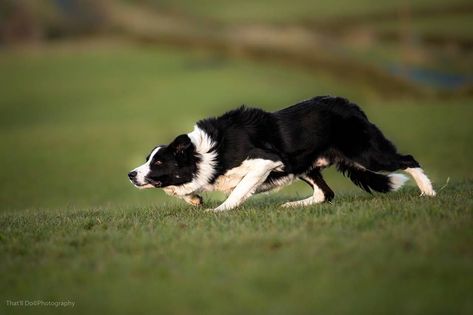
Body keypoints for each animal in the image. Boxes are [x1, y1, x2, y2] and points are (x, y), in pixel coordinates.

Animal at [126, 96, 436, 212]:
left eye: (159, 161)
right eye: (147, 158)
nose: (130, 174)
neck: (205, 152)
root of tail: (352, 106)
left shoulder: (267, 160)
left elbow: (239, 189)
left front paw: (220, 210)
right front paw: (194, 198)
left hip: (367, 153)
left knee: (409, 159)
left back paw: (428, 193)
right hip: (305, 165)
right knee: (325, 193)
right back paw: (292, 205)